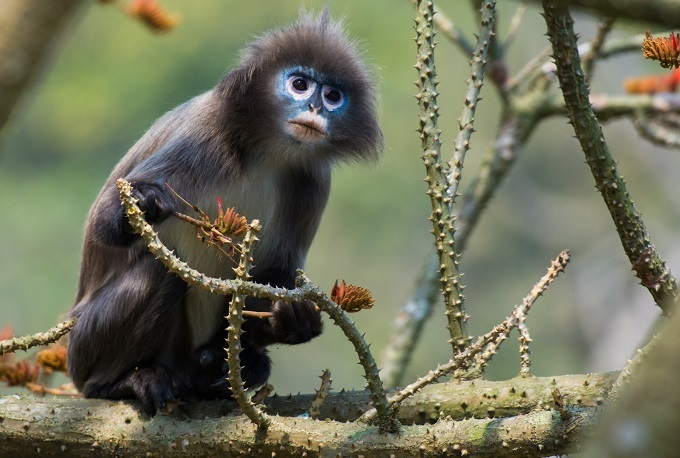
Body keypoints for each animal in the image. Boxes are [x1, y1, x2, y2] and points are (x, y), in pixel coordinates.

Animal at [67, 9, 382, 416]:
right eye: (299, 84)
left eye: (332, 96)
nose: (315, 108)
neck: (264, 153)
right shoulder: (200, 140)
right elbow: (102, 221)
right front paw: (146, 201)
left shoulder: (312, 182)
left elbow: (279, 270)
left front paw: (293, 321)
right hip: (85, 346)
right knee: (161, 272)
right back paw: (120, 382)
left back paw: (219, 370)